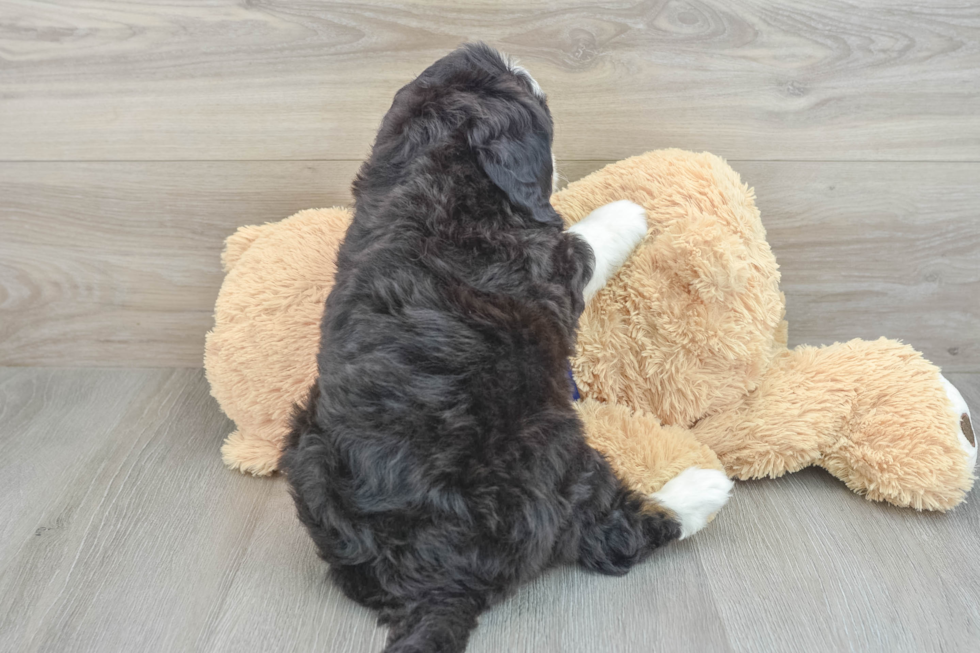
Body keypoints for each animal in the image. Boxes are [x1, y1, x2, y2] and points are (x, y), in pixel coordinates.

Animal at [280, 43, 732, 648]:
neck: (428, 171)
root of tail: (434, 584)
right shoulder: (549, 266)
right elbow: (586, 239)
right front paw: (627, 209)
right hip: (550, 450)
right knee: (612, 533)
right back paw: (698, 490)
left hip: (306, 443)